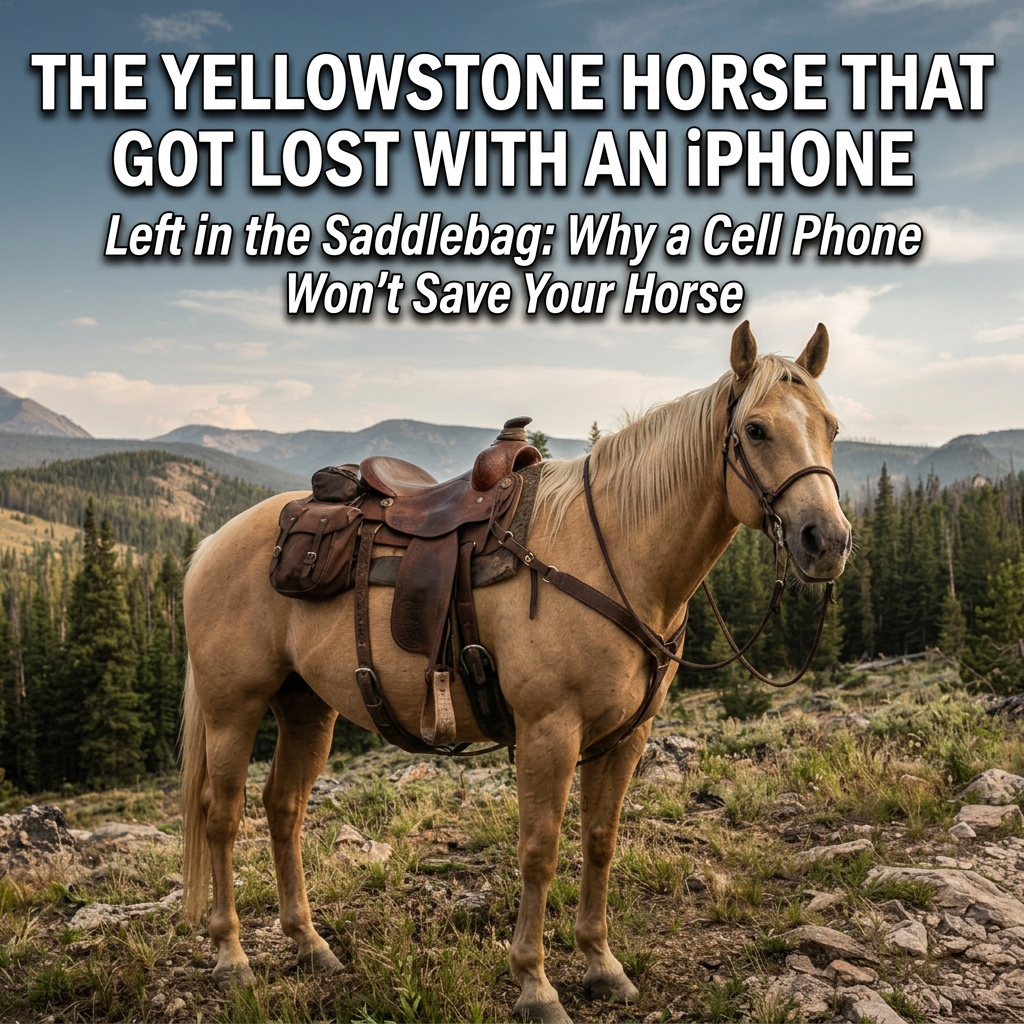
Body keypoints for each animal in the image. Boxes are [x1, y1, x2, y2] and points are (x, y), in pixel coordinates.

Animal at [179, 320, 851, 1023]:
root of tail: (212, 543)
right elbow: (539, 851)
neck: (613, 553)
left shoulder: (624, 738)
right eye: (756, 429)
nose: (826, 540)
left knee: (283, 808)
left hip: (306, 707)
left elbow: (600, 842)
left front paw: (601, 965)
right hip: (233, 710)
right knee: (221, 817)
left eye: (832, 427)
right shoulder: (548, 730)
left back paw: (310, 945)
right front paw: (536, 984)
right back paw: (231, 957)